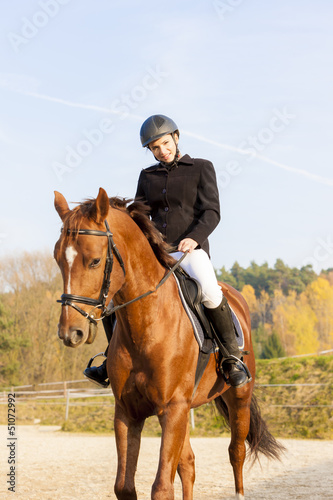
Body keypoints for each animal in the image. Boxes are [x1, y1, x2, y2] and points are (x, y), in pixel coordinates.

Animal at [53, 188, 282, 500]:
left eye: (95, 261)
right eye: (58, 259)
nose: (70, 332)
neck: (147, 324)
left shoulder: (172, 409)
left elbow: (162, 487)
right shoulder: (129, 412)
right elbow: (125, 486)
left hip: (239, 397)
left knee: (236, 452)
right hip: (186, 410)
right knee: (188, 463)